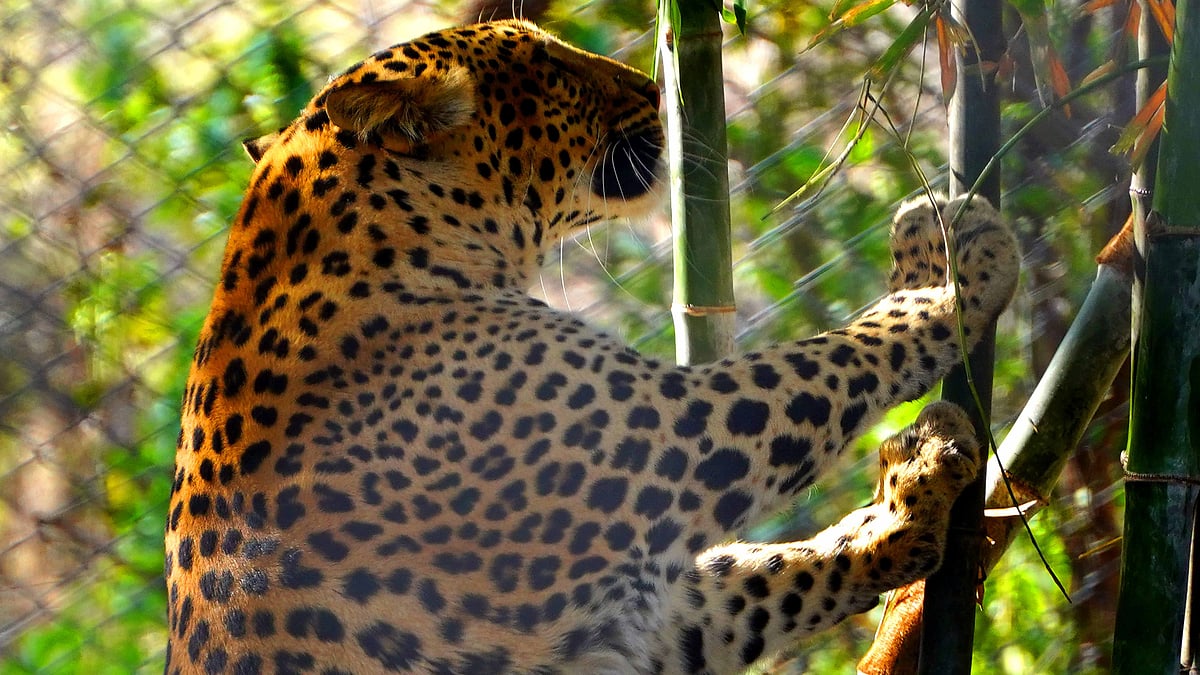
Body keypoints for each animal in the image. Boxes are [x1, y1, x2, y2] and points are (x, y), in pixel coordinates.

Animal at [164, 18, 1019, 675]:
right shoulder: (658, 435)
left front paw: (913, 494)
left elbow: (769, 577)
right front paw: (955, 277)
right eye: (557, 71)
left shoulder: (635, 621)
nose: (656, 91)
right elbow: (821, 363)